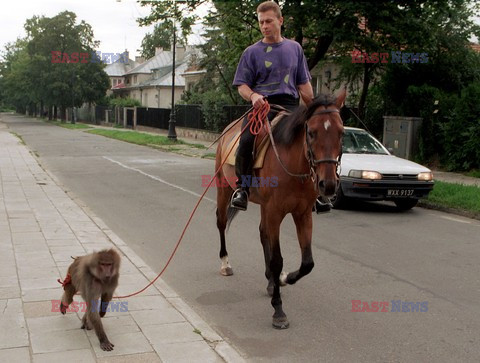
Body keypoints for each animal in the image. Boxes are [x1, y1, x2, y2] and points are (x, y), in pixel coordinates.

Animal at [215, 90, 344, 330]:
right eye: (311, 133)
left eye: (341, 133)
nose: (329, 185)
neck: (294, 165)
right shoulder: (275, 211)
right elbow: (277, 260)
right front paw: (278, 310)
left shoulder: (302, 213)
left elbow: (307, 262)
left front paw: (284, 279)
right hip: (224, 187)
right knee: (221, 222)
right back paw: (226, 263)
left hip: (264, 207)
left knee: (262, 232)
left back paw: (269, 281)